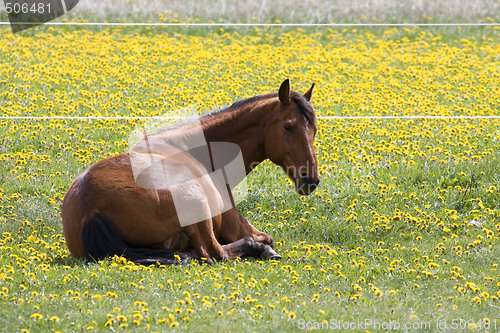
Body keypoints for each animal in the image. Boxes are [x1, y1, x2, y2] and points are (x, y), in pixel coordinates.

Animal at [61, 79, 320, 264]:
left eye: (314, 129)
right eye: (288, 126)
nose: (311, 178)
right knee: (214, 253)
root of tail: (90, 208)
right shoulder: (236, 225)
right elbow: (267, 238)